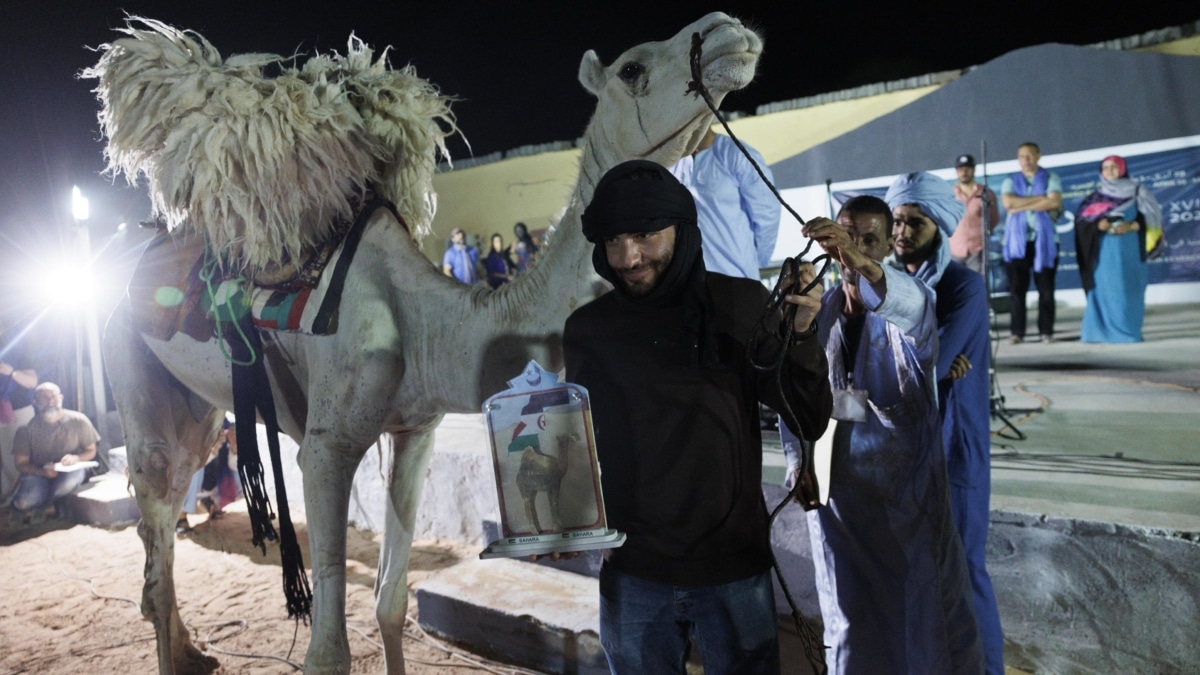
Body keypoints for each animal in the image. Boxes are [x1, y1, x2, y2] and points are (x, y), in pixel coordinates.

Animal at [91, 10, 758, 672]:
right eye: (633, 68)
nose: (728, 31)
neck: (430, 324)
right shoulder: (326, 449)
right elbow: (328, 652)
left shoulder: (416, 431)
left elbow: (390, 602)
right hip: (128, 359)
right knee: (156, 514)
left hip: (202, 411)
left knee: (166, 517)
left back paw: (194, 652)